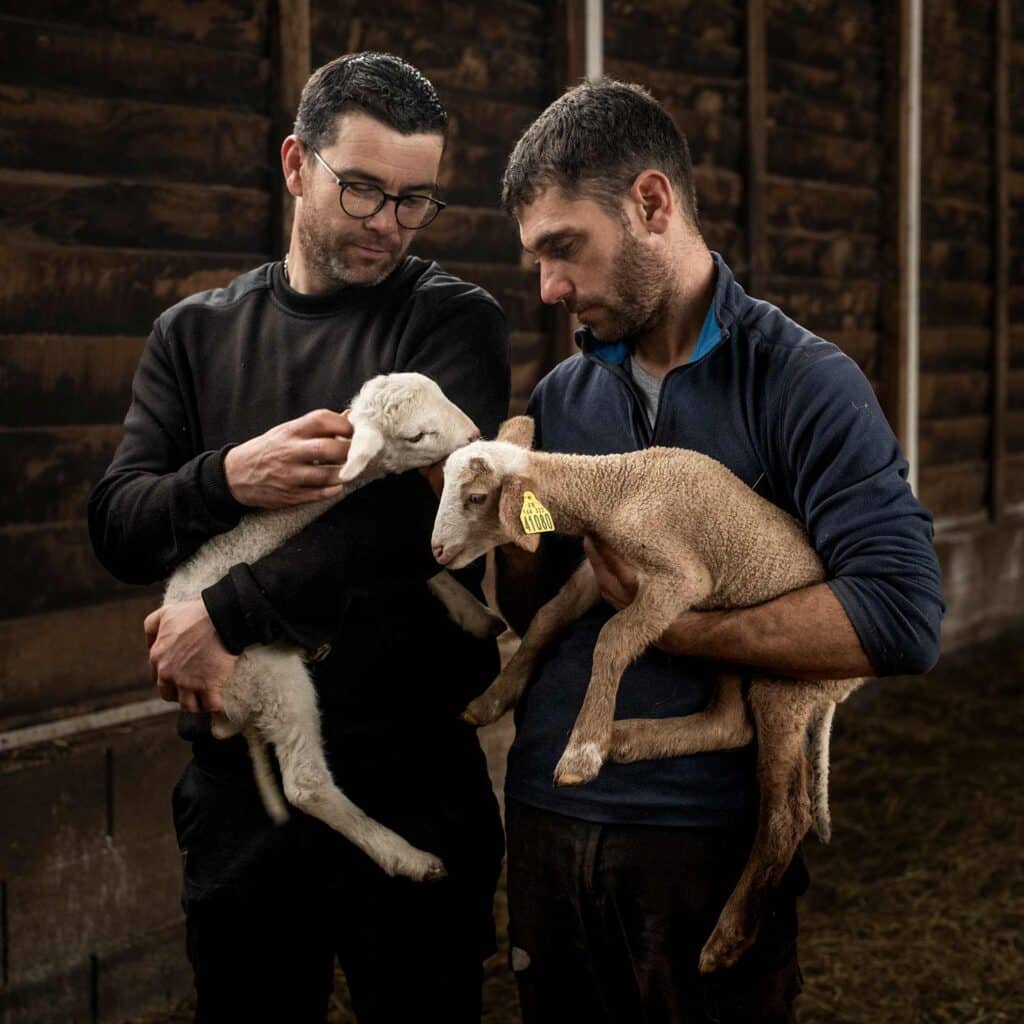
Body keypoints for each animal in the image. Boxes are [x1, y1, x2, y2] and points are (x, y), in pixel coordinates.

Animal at [165, 376, 501, 880]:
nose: (475, 435)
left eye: (443, 393)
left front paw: (475, 614)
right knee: (304, 784)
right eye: (416, 436)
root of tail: (231, 707)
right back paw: (407, 857)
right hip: (272, 681)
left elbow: (412, 565)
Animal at [425, 415, 864, 966]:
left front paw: (582, 751)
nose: (437, 551)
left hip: (786, 682)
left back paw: (728, 936)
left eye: (477, 497)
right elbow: (548, 617)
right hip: (733, 645)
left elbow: (611, 639)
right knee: (729, 724)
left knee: (787, 811)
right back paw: (628, 738)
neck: (616, 489)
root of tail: (845, 685)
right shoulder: (600, 569)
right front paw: (491, 700)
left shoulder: (679, 578)